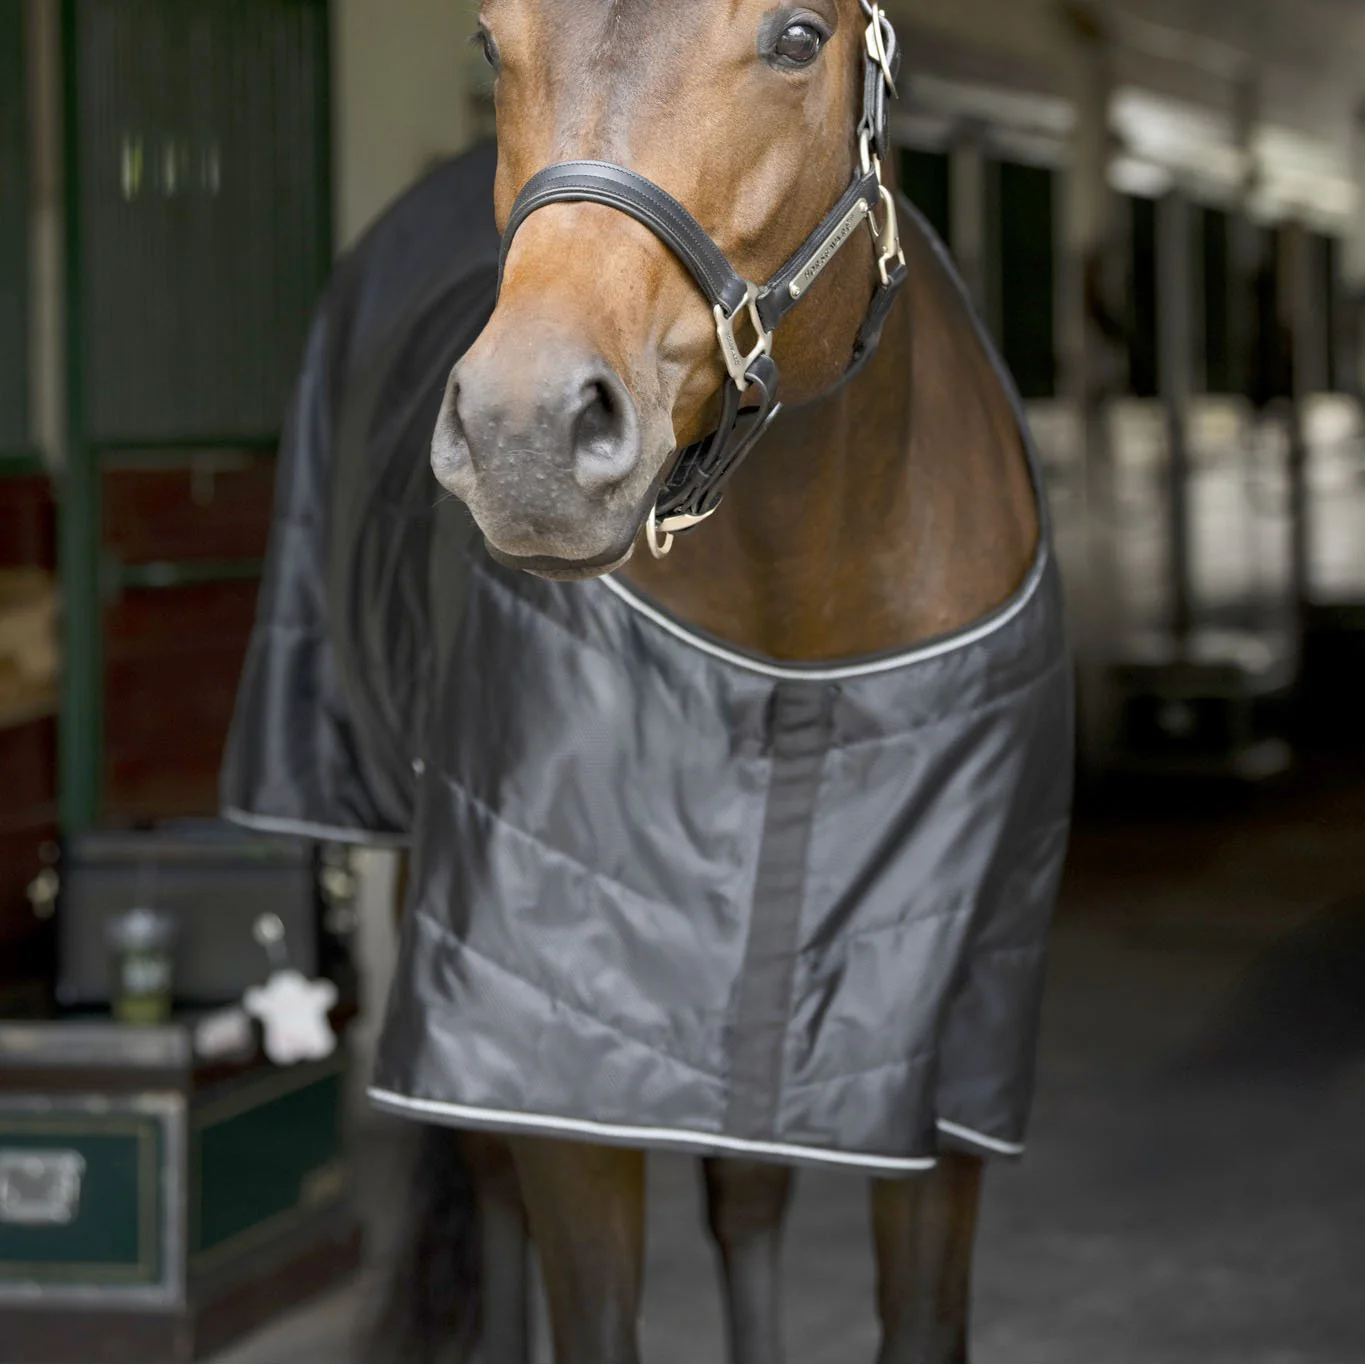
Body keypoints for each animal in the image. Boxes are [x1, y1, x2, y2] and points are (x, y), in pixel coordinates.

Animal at [343, 2, 1070, 1360]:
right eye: (489, 40)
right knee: (491, 1188)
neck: (801, 617)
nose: (525, 437)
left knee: (745, 1192)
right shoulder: (555, 1057)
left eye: (797, 35)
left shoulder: (945, 1071)